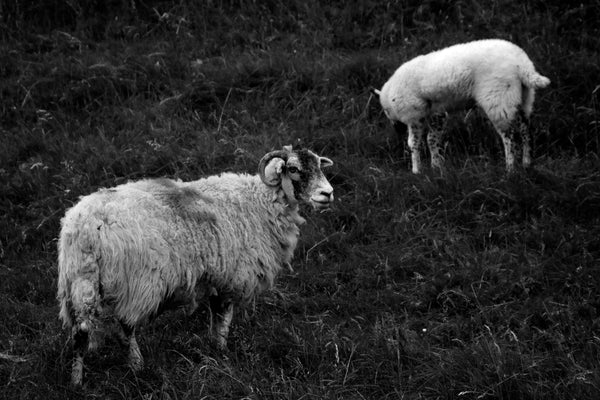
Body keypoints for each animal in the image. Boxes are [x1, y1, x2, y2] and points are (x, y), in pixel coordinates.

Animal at [58, 145, 336, 386]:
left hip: (80, 283)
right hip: (133, 282)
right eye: (293, 169)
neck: (261, 200)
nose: (328, 193)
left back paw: (76, 381)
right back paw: (137, 365)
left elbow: (215, 316)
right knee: (124, 328)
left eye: (319, 166)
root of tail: (85, 228)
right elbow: (223, 319)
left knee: (80, 333)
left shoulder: (216, 277)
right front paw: (222, 352)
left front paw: (214, 350)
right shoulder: (232, 276)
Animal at [372, 38, 552, 173]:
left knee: (509, 137)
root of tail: (522, 65)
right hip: (524, 98)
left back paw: (510, 168)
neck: (390, 95)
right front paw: (436, 167)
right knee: (526, 130)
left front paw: (417, 171)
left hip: (498, 99)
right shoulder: (437, 113)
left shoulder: (414, 115)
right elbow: (432, 139)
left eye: (386, 112)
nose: (397, 130)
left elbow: (414, 143)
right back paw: (527, 163)